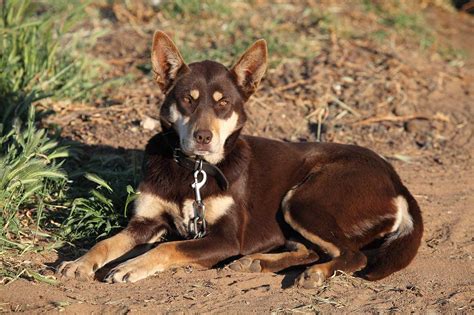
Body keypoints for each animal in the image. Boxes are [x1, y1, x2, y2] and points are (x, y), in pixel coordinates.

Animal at [57, 30, 424, 288]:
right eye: (188, 100)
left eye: (223, 104)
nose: (203, 137)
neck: (194, 170)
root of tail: (397, 182)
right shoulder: (145, 222)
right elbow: (107, 242)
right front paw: (80, 262)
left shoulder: (225, 238)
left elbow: (166, 248)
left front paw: (130, 266)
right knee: (314, 249)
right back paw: (257, 262)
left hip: (305, 199)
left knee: (353, 255)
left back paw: (316, 273)